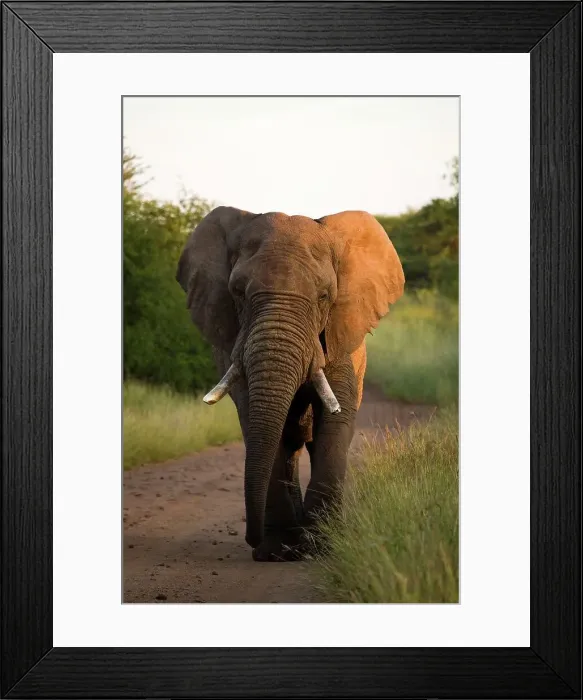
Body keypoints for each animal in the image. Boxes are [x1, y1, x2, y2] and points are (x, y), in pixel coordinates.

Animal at [176, 207, 404, 561]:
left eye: (324, 296)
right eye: (237, 292)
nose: (251, 540)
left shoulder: (339, 337)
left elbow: (334, 421)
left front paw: (320, 548)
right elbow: (260, 422)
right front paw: (276, 553)